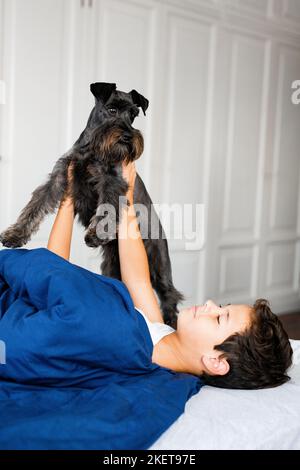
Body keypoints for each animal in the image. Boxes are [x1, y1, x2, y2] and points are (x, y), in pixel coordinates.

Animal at [0, 83, 184, 326]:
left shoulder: (112, 182)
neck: (94, 149)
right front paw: (15, 234)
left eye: (133, 115)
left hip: (157, 263)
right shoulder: (60, 177)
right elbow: (35, 205)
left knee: (169, 294)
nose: (128, 136)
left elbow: (106, 209)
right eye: (112, 110)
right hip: (113, 267)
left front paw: (96, 234)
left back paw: (170, 322)